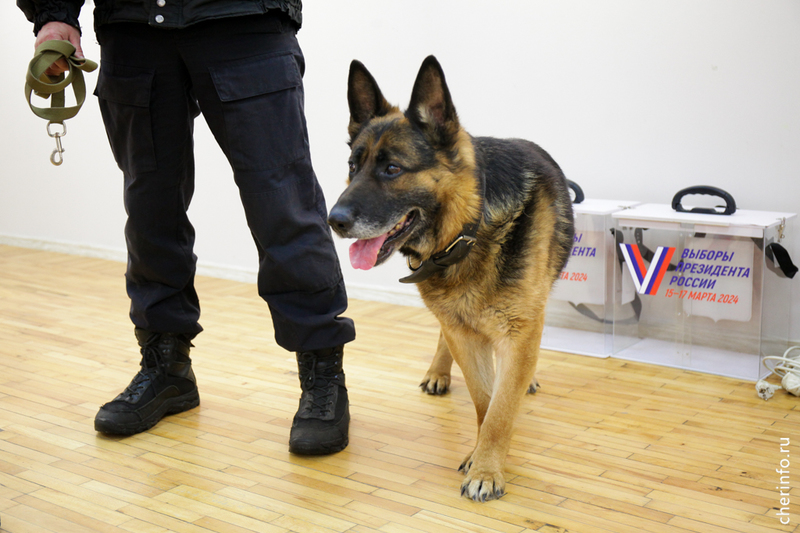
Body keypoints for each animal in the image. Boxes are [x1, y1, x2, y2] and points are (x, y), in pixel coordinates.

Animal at [328, 56, 574, 501]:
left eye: (392, 169)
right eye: (353, 167)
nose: (333, 221)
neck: (470, 228)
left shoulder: (519, 329)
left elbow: (501, 407)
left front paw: (487, 469)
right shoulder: (463, 333)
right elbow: (484, 401)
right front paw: (481, 457)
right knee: (447, 335)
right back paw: (439, 372)